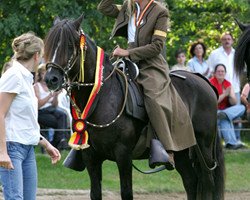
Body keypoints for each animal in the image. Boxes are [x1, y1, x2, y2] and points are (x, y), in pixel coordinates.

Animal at [43, 15, 225, 200]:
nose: (51, 79)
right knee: (190, 181)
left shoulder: (123, 155)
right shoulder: (91, 156)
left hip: (204, 148)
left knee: (207, 182)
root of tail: (204, 81)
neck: (102, 98)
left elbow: (126, 192)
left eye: (69, 45)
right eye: (49, 44)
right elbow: (95, 192)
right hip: (182, 151)